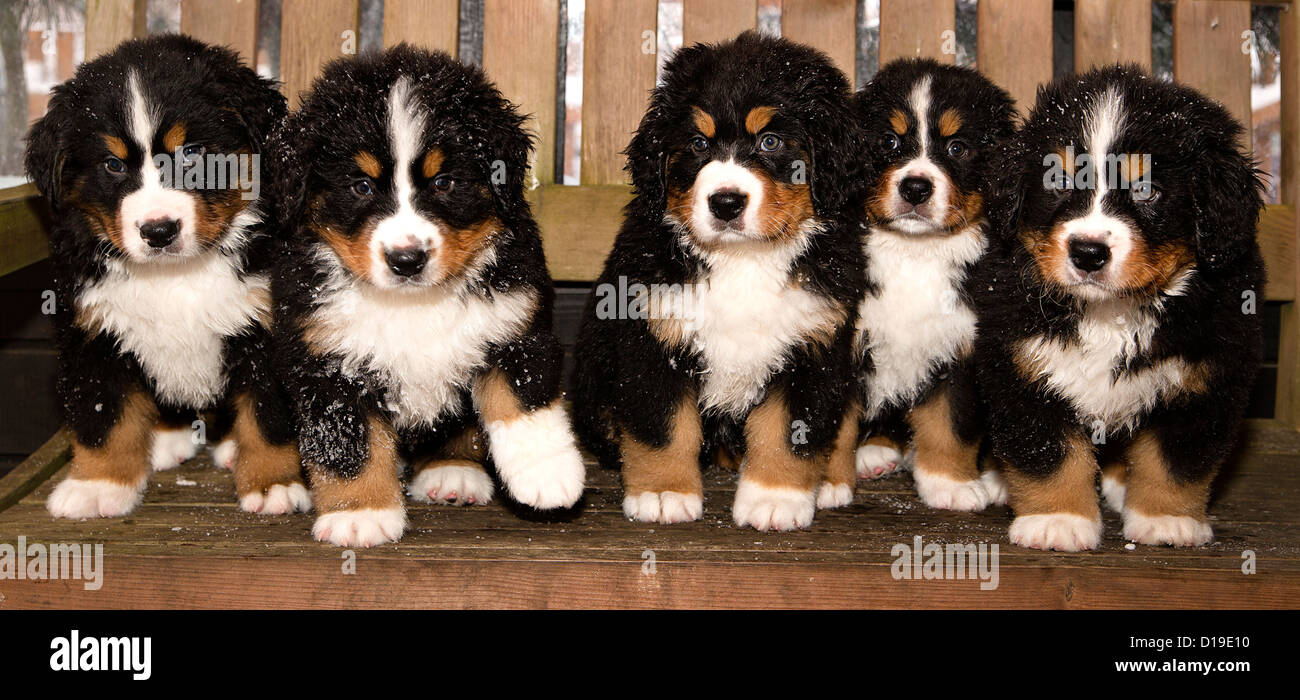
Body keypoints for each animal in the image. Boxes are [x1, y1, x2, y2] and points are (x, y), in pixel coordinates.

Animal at [24, 36, 302, 517]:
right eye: (113, 165)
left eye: (191, 153)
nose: (158, 231)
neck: (175, 274)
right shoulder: (93, 333)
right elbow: (104, 416)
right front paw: (97, 484)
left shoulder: (266, 329)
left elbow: (268, 414)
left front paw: (273, 483)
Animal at [271, 44, 587, 543]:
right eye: (360, 186)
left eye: (444, 183)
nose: (407, 259)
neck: (413, 303)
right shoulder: (324, 360)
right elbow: (351, 443)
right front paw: (360, 514)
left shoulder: (514, 325)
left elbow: (522, 400)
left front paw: (548, 474)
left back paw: (452, 471)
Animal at [574, 32, 868, 528]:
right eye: (697, 143)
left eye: (770, 141)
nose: (726, 202)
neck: (742, 259)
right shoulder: (652, 337)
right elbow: (664, 426)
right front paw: (663, 492)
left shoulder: (815, 344)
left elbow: (788, 432)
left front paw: (775, 498)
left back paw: (831, 480)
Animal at [847, 57, 1019, 510]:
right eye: (889, 141)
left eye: (957, 148)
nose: (915, 187)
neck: (915, 254)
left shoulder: (960, 346)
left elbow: (949, 424)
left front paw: (950, 485)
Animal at [977, 65, 1263, 546]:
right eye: (1057, 181)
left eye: (1147, 191)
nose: (1088, 252)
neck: (1110, 313)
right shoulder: (1022, 368)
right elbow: (1049, 452)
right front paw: (1058, 520)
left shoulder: (1202, 381)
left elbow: (1173, 461)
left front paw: (1166, 519)